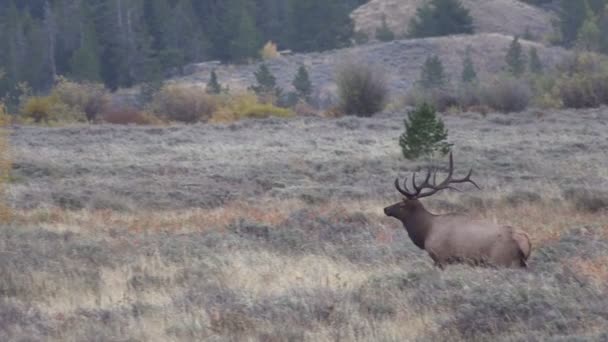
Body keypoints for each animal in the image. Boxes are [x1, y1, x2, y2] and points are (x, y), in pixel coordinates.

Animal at [384, 154, 532, 268]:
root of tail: (526, 242)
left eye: (402, 204)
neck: (425, 232)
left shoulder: (441, 258)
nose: (386, 209)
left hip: (501, 261)